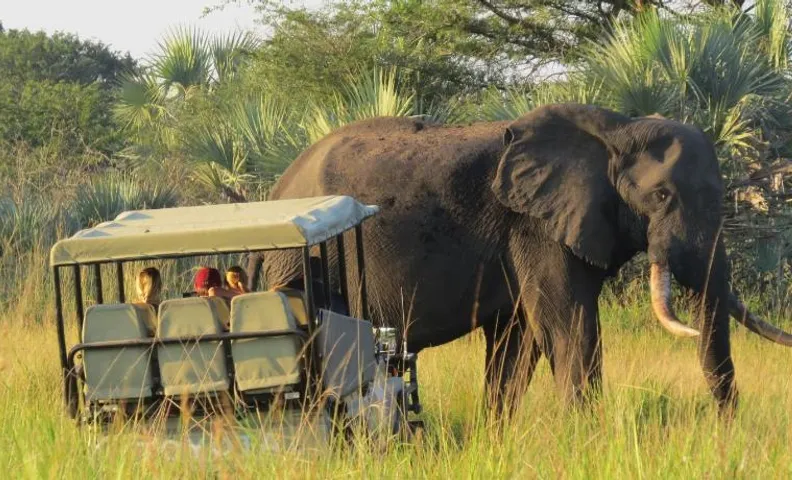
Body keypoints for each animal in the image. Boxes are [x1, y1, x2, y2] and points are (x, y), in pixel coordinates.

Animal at [248, 103, 792, 413]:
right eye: (660, 198)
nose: (727, 432)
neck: (618, 130)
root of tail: (276, 189)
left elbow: (519, 341)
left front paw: (497, 438)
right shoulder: (537, 227)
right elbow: (570, 326)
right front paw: (585, 438)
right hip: (299, 263)